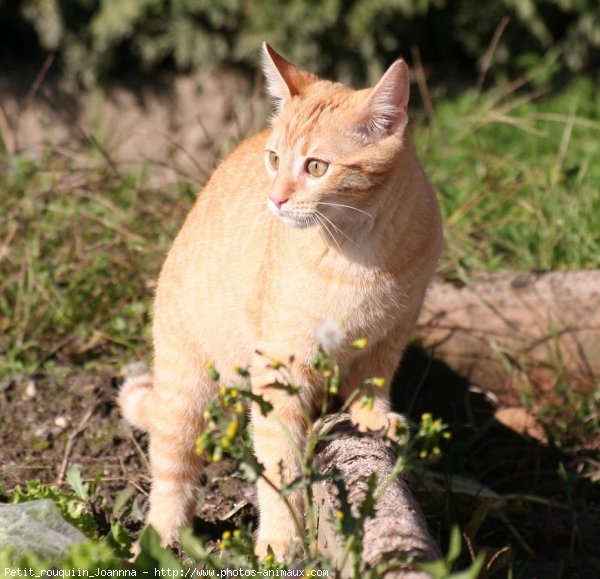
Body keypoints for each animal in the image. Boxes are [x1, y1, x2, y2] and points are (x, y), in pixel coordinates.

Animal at [119, 43, 442, 560]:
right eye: (274, 158)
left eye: (316, 167)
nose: (275, 200)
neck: (359, 252)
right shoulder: (280, 369)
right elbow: (281, 470)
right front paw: (281, 539)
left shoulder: (392, 332)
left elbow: (374, 380)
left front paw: (373, 417)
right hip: (185, 388)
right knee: (172, 471)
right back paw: (161, 539)